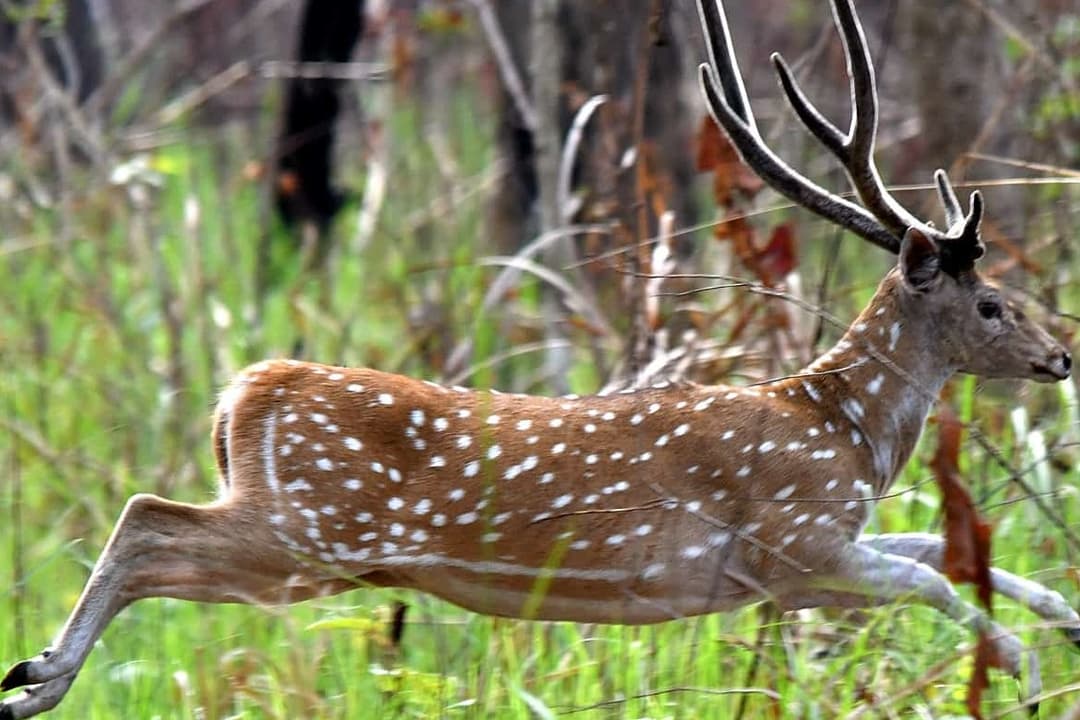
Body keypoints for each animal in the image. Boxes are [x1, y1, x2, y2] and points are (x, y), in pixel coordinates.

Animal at [4, 0, 1075, 716]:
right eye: (992, 301)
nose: (1060, 356)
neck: (843, 431)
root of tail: (245, 392)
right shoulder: (792, 538)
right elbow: (936, 575)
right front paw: (1023, 670)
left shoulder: (802, 564)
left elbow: (943, 549)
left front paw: (1061, 618)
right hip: (311, 531)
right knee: (147, 517)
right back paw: (38, 678)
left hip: (310, 544)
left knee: (152, 524)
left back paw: (34, 676)